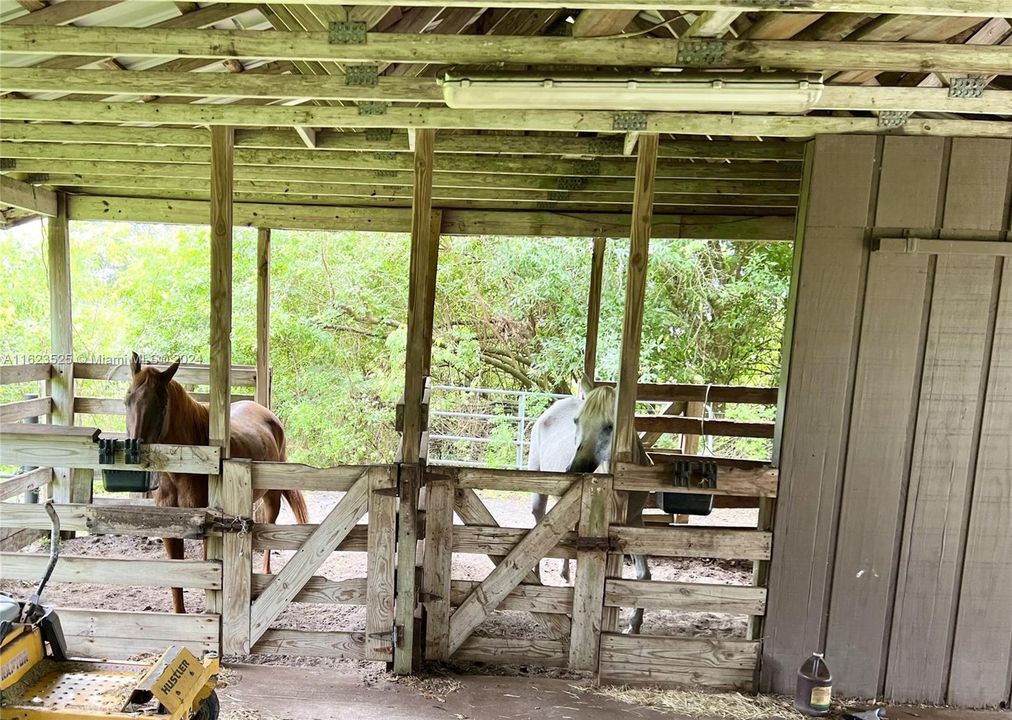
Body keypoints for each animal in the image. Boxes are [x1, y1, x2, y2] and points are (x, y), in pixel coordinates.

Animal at [123, 354, 303, 615]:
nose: (134, 450)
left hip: (271, 496)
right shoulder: (171, 529)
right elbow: (176, 579)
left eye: (162, 403)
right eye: (127, 399)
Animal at [526, 386, 651, 631]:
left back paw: (564, 573)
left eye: (610, 426)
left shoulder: (634, 523)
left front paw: (633, 625)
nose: (575, 468)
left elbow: (643, 576)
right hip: (539, 491)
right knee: (539, 522)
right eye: (577, 421)